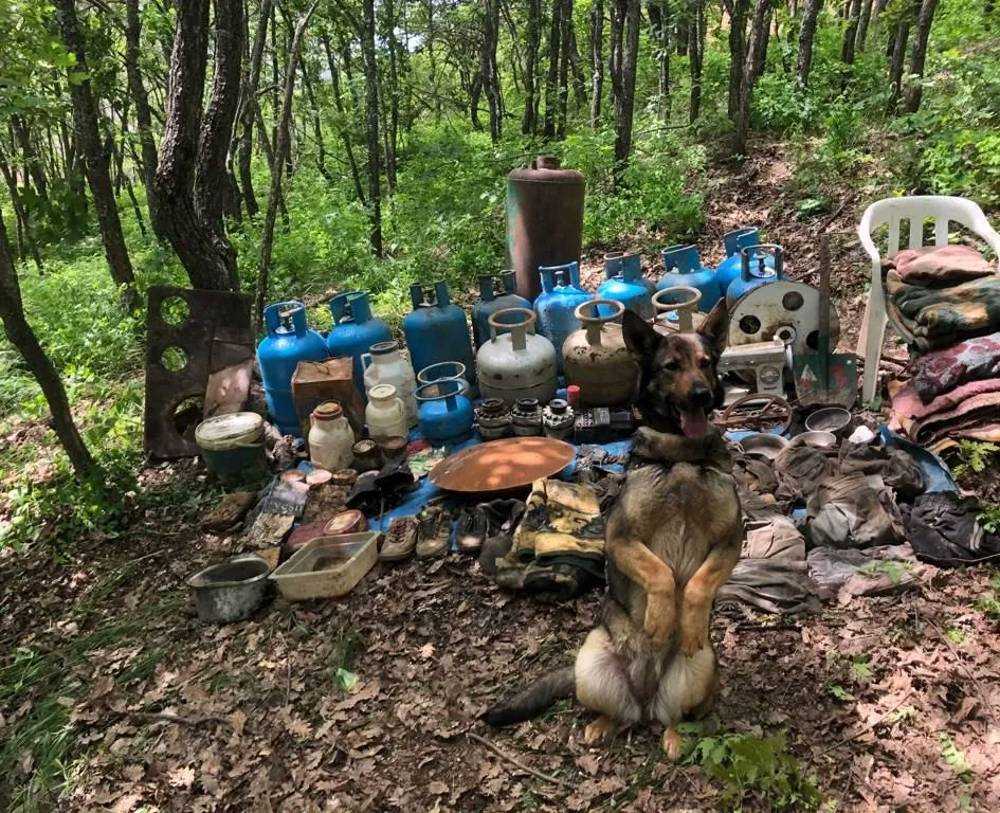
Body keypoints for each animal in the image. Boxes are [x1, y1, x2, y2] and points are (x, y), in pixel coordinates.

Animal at [484, 308, 744, 760]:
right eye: (671, 367)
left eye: (706, 363)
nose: (701, 395)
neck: (680, 457)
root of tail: (646, 696)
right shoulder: (621, 537)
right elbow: (659, 573)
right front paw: (659, 618)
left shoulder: (731, 539)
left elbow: (697, 585)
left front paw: (686, 622)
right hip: (590, 662)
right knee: (619, 714)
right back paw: (601, 726)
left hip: (701, 668)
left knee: (671, 718)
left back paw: (674, 736)